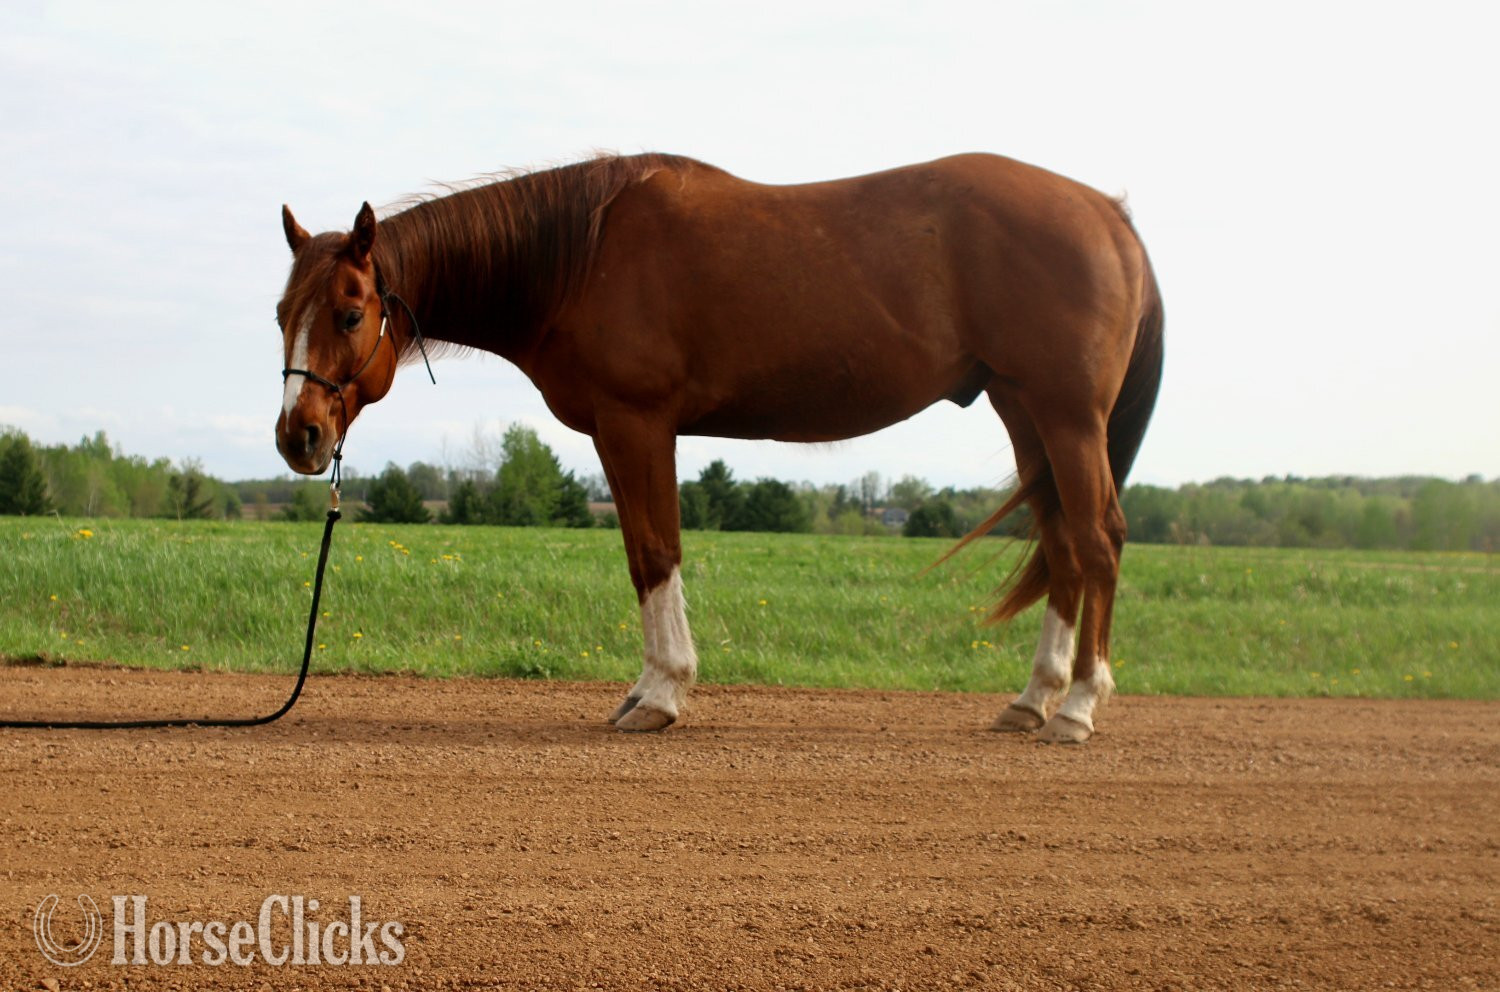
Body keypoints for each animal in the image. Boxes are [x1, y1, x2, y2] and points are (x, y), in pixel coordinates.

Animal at [274, 152, 1164, 742]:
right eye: (283, 312)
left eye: (349, 312)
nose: (298, 435)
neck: (580, 257)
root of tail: (1108, 212)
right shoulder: (620, 431)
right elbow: (642, 554)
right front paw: (644, 690)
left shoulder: (638, 424)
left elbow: (657, 552)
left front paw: (663, 695)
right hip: (1025, 409)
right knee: (1063, 544)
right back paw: (1031, 700)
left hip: (1067, 414)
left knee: (1098, 541)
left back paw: (1077, 707)